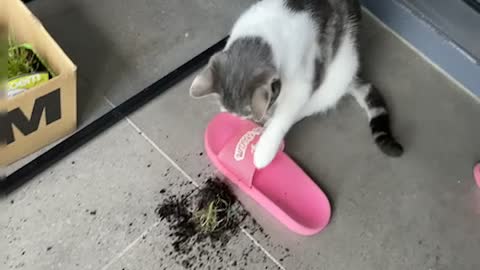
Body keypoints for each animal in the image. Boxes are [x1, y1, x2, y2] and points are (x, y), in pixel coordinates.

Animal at [189, 0, 404, 169]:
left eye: (246, 114)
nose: (243, 119)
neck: (266, 33)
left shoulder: (304, 82)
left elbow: (285, 116)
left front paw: (264, 151)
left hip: (335, 78)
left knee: (309, 107)